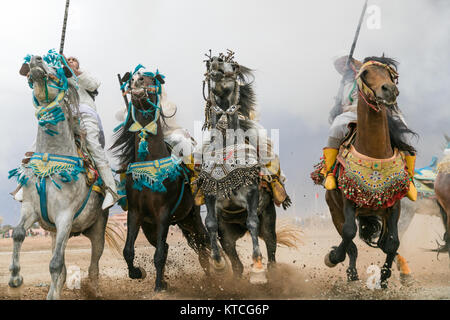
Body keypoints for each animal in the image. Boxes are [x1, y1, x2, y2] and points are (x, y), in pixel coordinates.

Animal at [8, 52, 121, 300]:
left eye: (57, 69)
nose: (35, 60)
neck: (52, 156)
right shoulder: (31, 208)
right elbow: (19, 233)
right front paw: (15, 279)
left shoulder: (65, 217)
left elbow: (55, 264)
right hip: (54, 233)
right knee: (64, 269)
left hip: (96, 230)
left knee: (93, 265)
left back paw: (94, 290)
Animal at [111, 67, 212, 292]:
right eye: (131, 78)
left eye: (150, 78)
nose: (136, 81)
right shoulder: (135, 213)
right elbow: (128, 250)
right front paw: (138, 273)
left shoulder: (163, 213)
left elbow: (158, 255)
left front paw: (157, 286)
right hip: (158, 225)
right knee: (168, 246)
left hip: (191, 216)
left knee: (203, 244)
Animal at [324, 56, 418, 288]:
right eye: (366, 74)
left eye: (391, 74)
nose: (389, 89)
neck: (375, 154)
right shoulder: (348, 200)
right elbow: (349, 233)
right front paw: (333, 257)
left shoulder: (394, 205)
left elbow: (392, 243)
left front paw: (384, 279)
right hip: (334, 208)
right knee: (350, 243)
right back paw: (351, 273)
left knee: (384, 243)